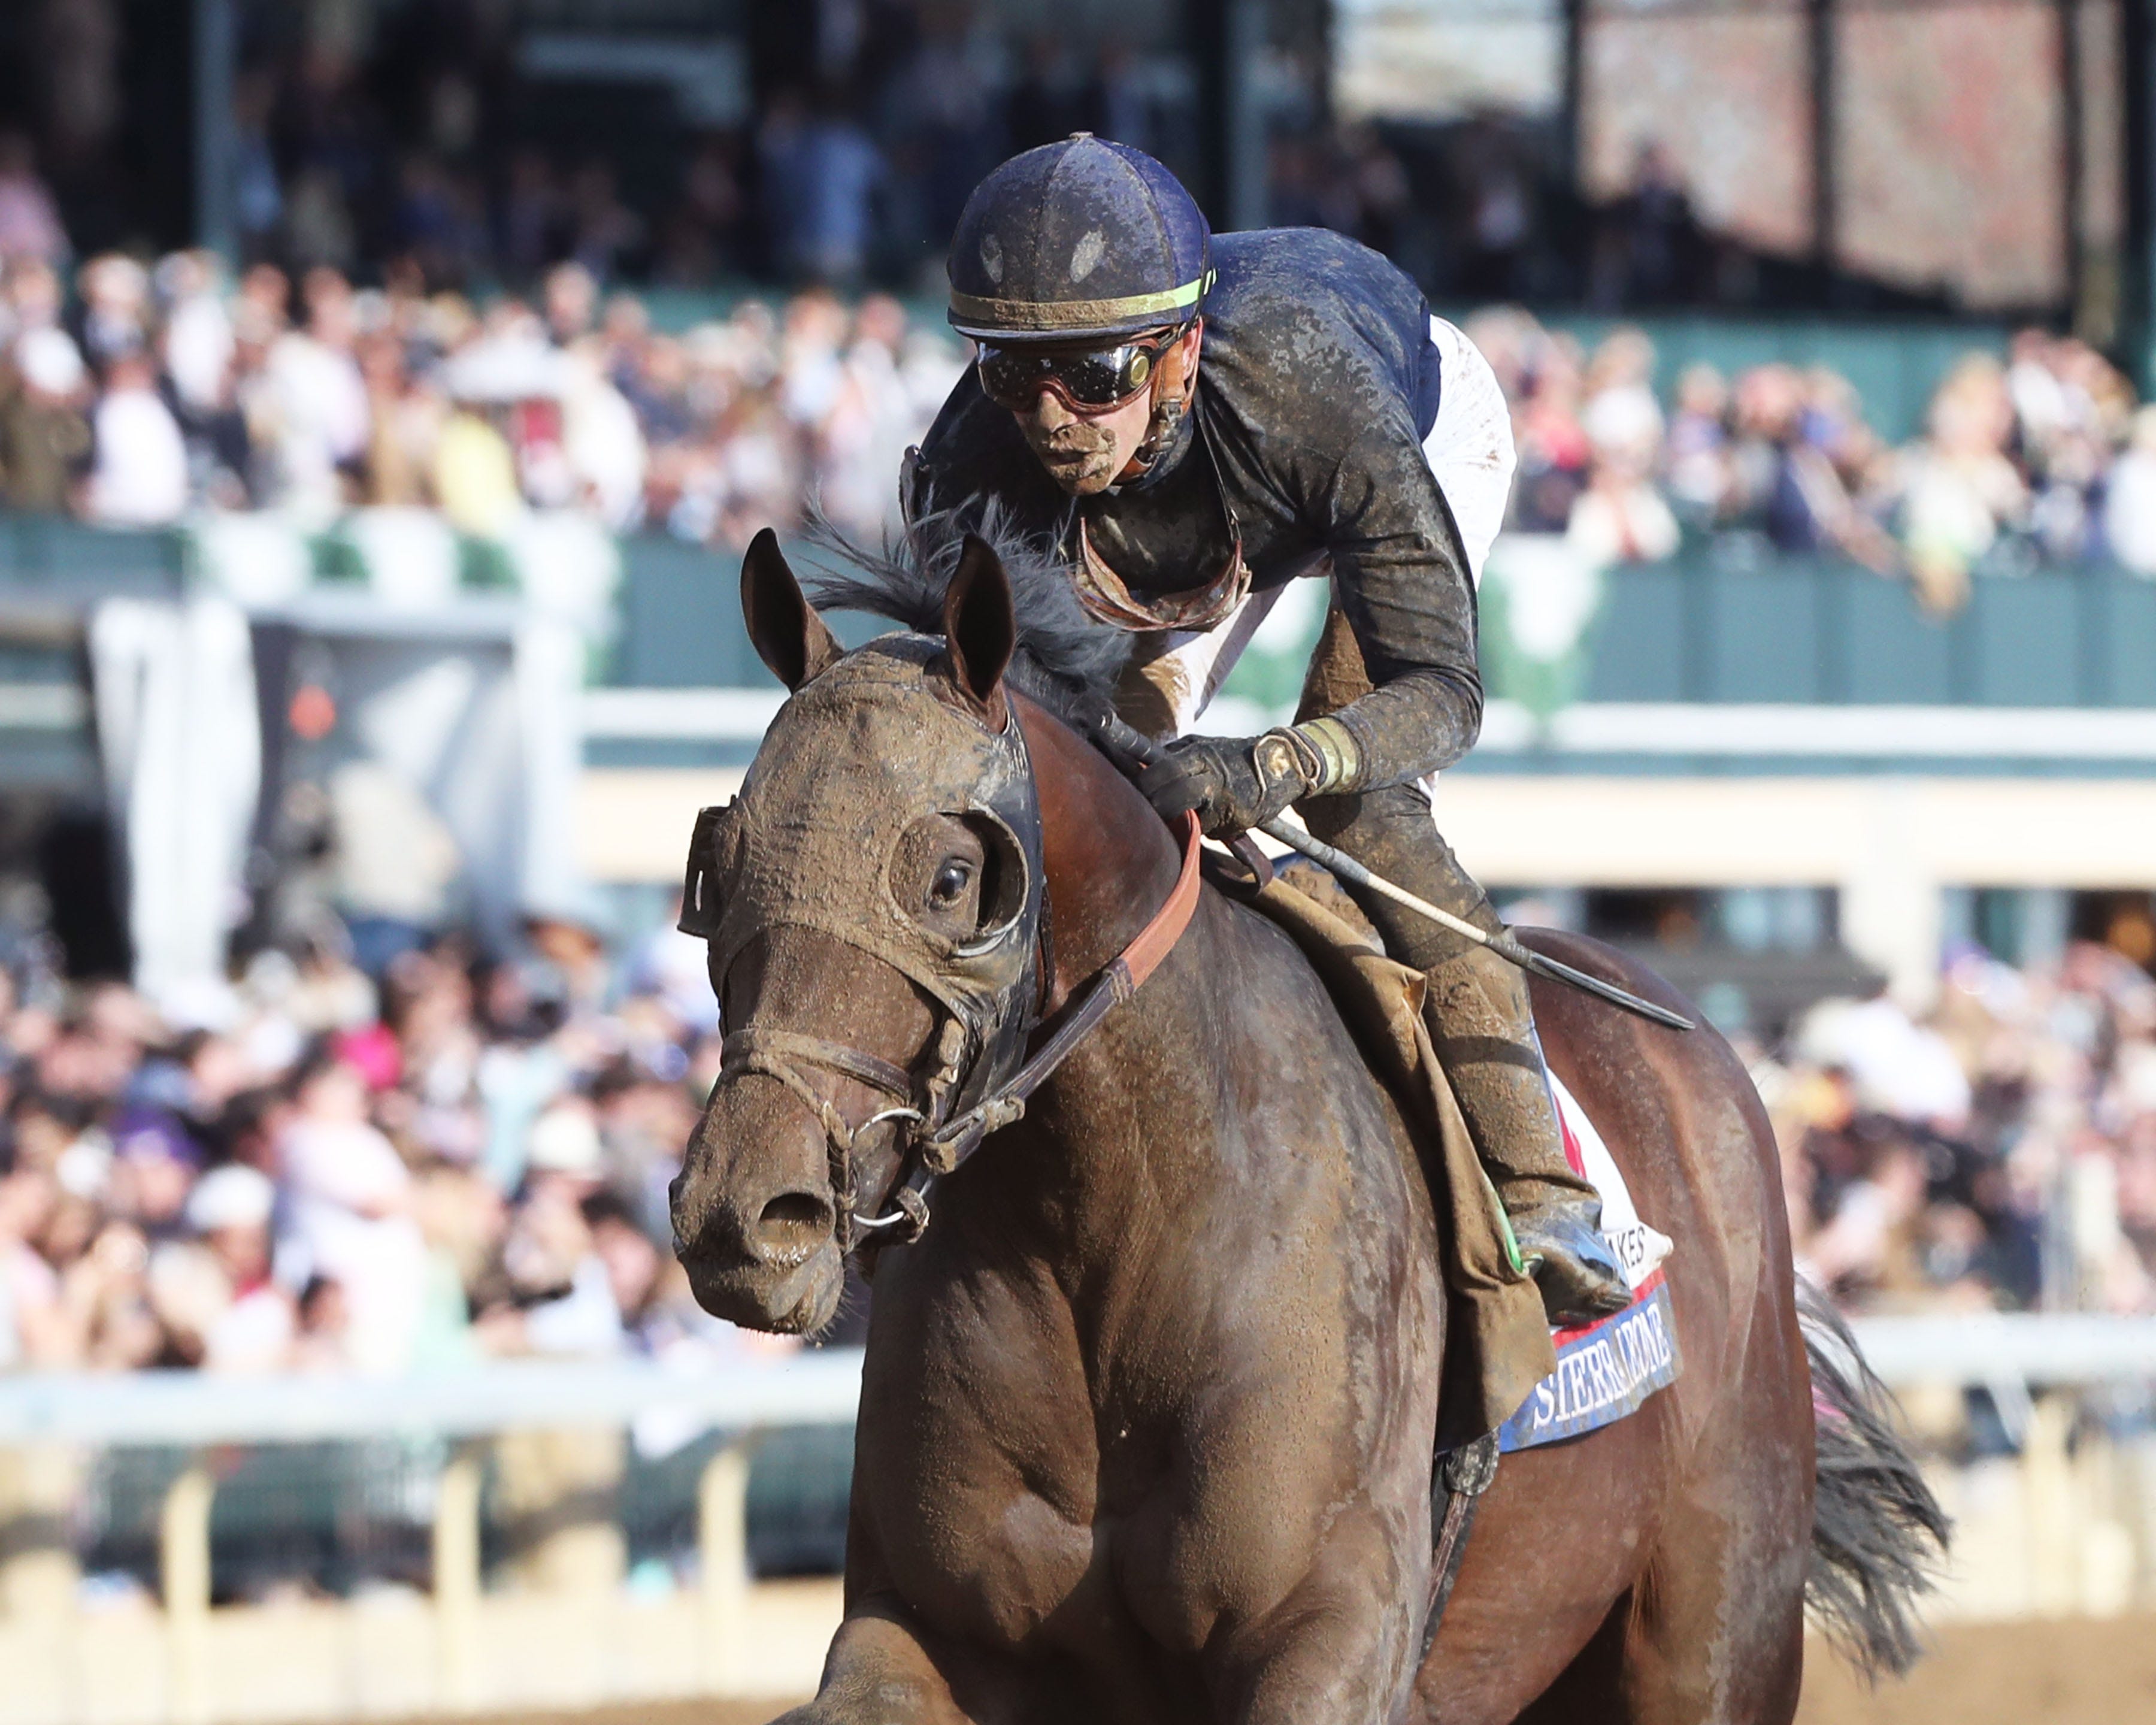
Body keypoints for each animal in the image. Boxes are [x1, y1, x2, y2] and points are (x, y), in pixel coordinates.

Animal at [668, 528, 1940, 1725]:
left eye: (946, 876)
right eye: (718, 867)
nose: (746, 1216)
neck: (1111, 1239)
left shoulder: (1331, 1638)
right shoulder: (923, 1630)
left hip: (1712, 1631)